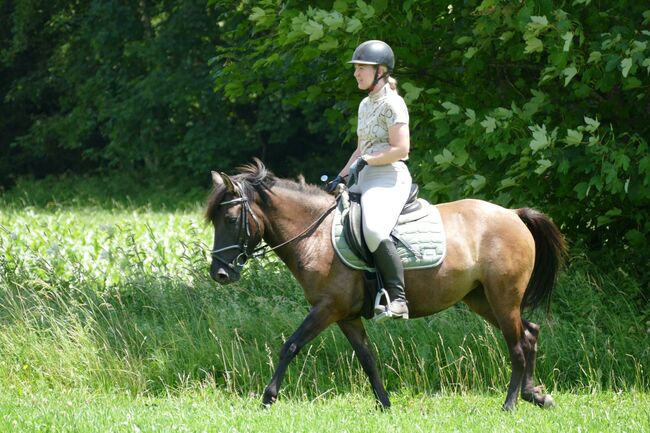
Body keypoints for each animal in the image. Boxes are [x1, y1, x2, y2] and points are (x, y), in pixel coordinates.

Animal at [205, 158, 564, 408]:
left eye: (232, 220)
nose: (220, 274)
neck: (316, 237)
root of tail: (513, 214)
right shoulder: (346, 316)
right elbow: (367, 359)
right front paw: (385, 404)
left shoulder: (326, 309)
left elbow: (290, 346)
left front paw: (268, 397)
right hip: (481, 298)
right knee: (529, 334)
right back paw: (536, 396)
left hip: (503, 297)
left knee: (516, 345)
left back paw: (510, 403)